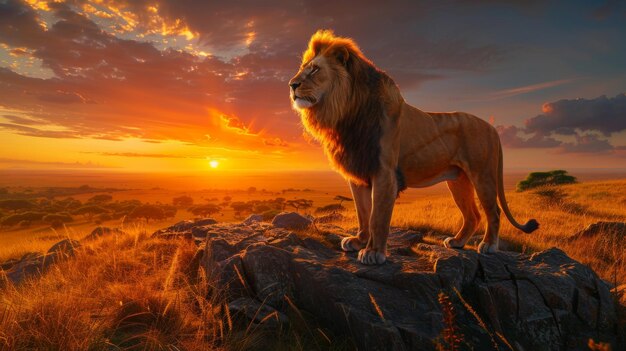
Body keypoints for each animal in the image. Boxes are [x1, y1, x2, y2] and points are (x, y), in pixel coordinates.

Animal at [288, 31, 536, 266]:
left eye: (314, 70)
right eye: (302, 69)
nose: (292, 85)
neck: (346, 114)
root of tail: (491, 127)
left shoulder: (384, 173)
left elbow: (377, 217)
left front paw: (373, 253)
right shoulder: (358, 172)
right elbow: (363, 213)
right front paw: (358, 242)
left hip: (482, 174)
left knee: (493, 211)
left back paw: (489, 245)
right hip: (458, 180)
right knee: (473, 215)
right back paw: (457, 242)